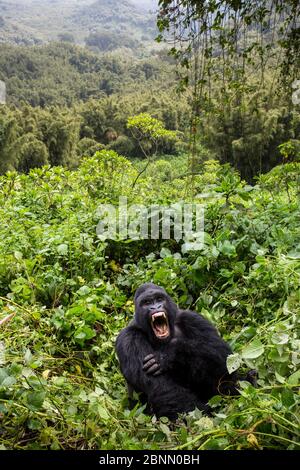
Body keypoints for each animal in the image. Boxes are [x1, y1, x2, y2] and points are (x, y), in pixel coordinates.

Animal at [116, 280, 254, 420]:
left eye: (159, 299)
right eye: (147, 302)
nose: (155, 307)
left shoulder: (192, 318)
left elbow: (223, 356)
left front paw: (169, 354)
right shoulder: (128, 338)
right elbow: (162, 388)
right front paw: (203, 417)